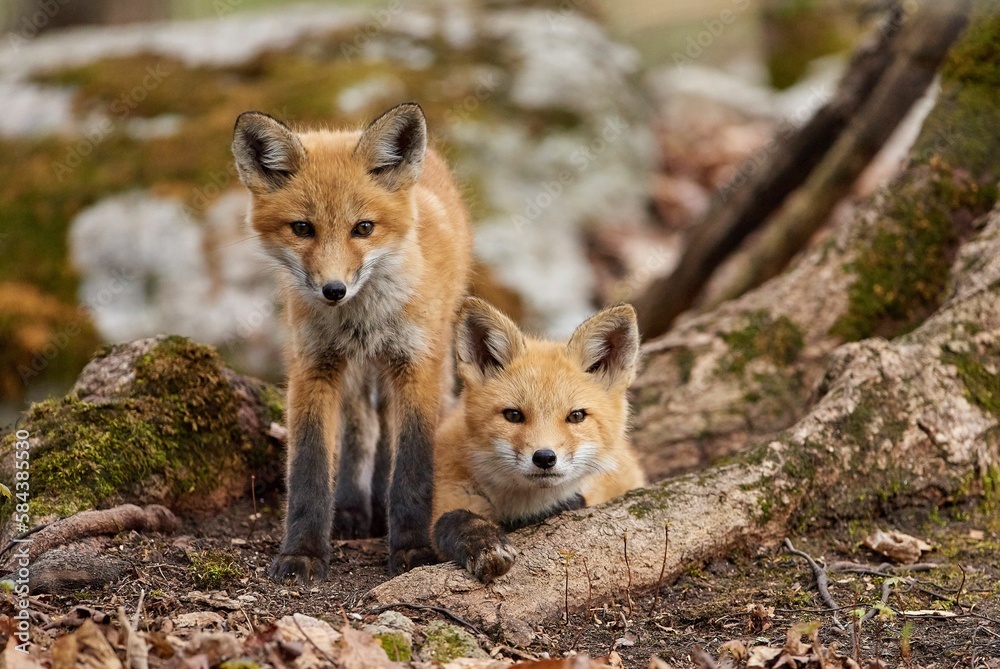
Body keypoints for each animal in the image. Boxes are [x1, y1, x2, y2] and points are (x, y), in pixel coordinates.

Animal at [232, 103, 473, 582]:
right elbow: (309, 466)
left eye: (363, 228)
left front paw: (412, 548)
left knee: (390, 436)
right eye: (302, 228)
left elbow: (412, 466)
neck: (362, 319)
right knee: (363, 429)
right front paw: (303, 551)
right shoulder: (313, 366)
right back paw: (352, 508)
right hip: (357, 373)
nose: (333, 290)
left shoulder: (415, 364)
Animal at [432, 297, 646, 583]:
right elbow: (453, 520)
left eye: (576, 416)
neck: (522, 506)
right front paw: (485, 545)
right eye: (513, 415)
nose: (544, 458)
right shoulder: (447, 493)